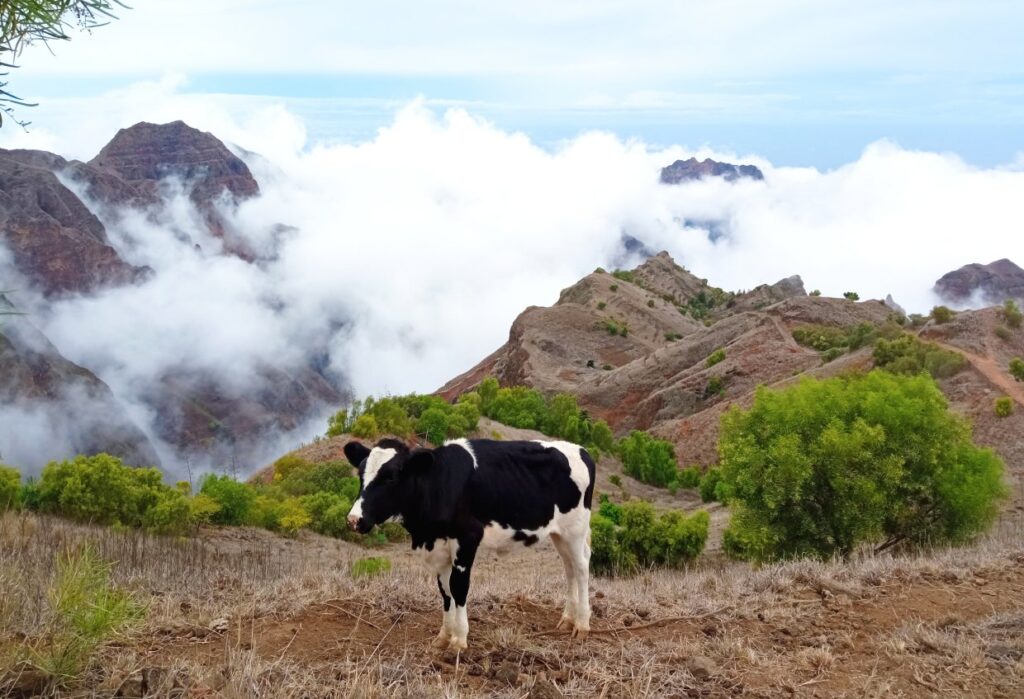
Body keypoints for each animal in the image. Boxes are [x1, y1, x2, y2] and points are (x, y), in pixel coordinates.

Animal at [346, 438, 598, 650]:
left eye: (391, 478)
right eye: (360, 475)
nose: (353, 519)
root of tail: (581, 449)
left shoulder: (468, 538)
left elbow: (458, 587)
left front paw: (459, 640)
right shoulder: (440, 547)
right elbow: (445, 590)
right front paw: (443, 636)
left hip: (576, 529)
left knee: (581, 568)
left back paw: (582, 625)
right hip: (560, 534)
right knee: (569, 569)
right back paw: (567, 620)